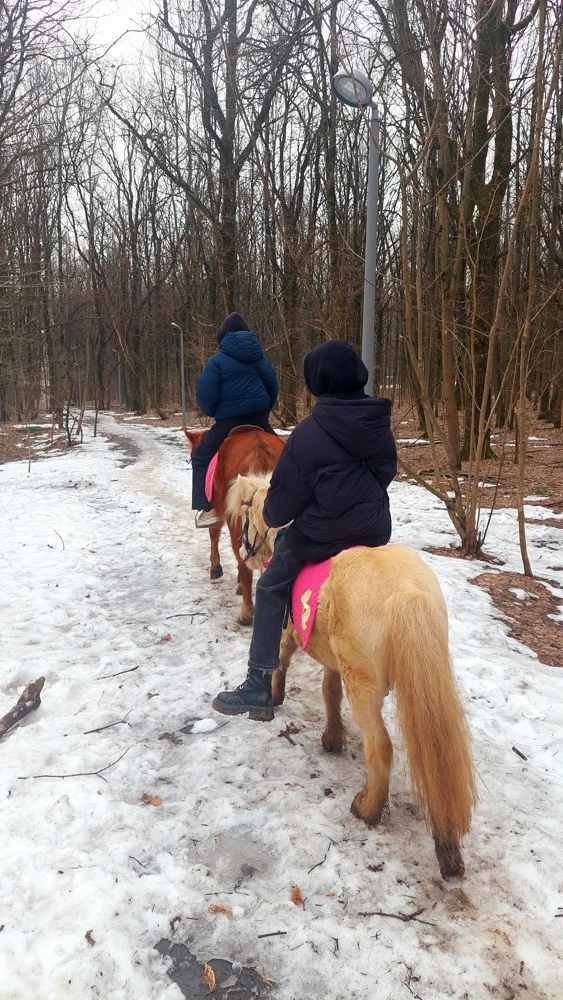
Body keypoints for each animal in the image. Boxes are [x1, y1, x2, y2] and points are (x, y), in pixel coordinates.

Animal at [225, 472, 476, 880]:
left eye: (246, 518)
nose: (245, 554)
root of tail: (406, 593)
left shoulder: (287, 631)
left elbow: (280, 658)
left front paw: (270, 697)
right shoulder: (332, 659)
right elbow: (329, 691)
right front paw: (332, 738)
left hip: (365, 686)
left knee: (381, 746)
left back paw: (367, 808)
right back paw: (447, 847)